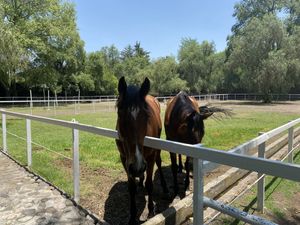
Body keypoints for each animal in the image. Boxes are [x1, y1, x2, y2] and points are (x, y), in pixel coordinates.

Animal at [115, 76, 169, 224]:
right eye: (120, 114)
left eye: (146, 115)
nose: (137, 167)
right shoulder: (124, 159)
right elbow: (131, 188)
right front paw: (132, 216)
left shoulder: (149, 158)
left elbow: (150, 184)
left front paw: (150, 210)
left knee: (159, 163)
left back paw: (164, 187)